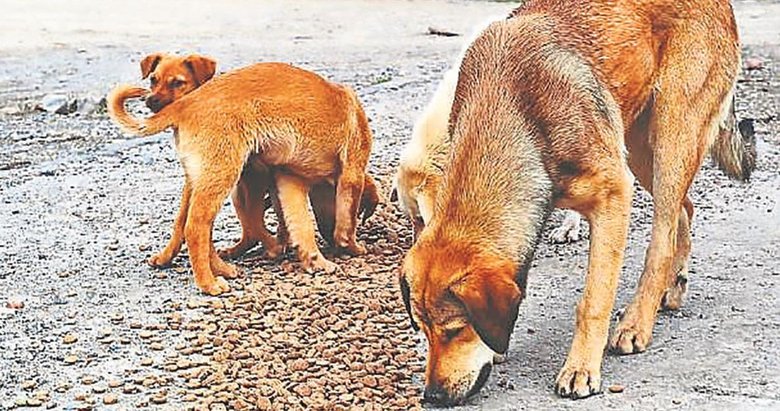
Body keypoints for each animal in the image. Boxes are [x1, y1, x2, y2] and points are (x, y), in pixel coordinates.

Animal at [400, 0, 752, 406]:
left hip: (671, 138)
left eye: (455, 330)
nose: (432, 396)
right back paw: (671, 287)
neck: (512, 109)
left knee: (662, 238)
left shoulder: (614, 195)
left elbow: (594, 301)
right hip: (639, 146)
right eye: (422, 329)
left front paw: (581, 367)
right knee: (685, 210)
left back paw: (637, 321)